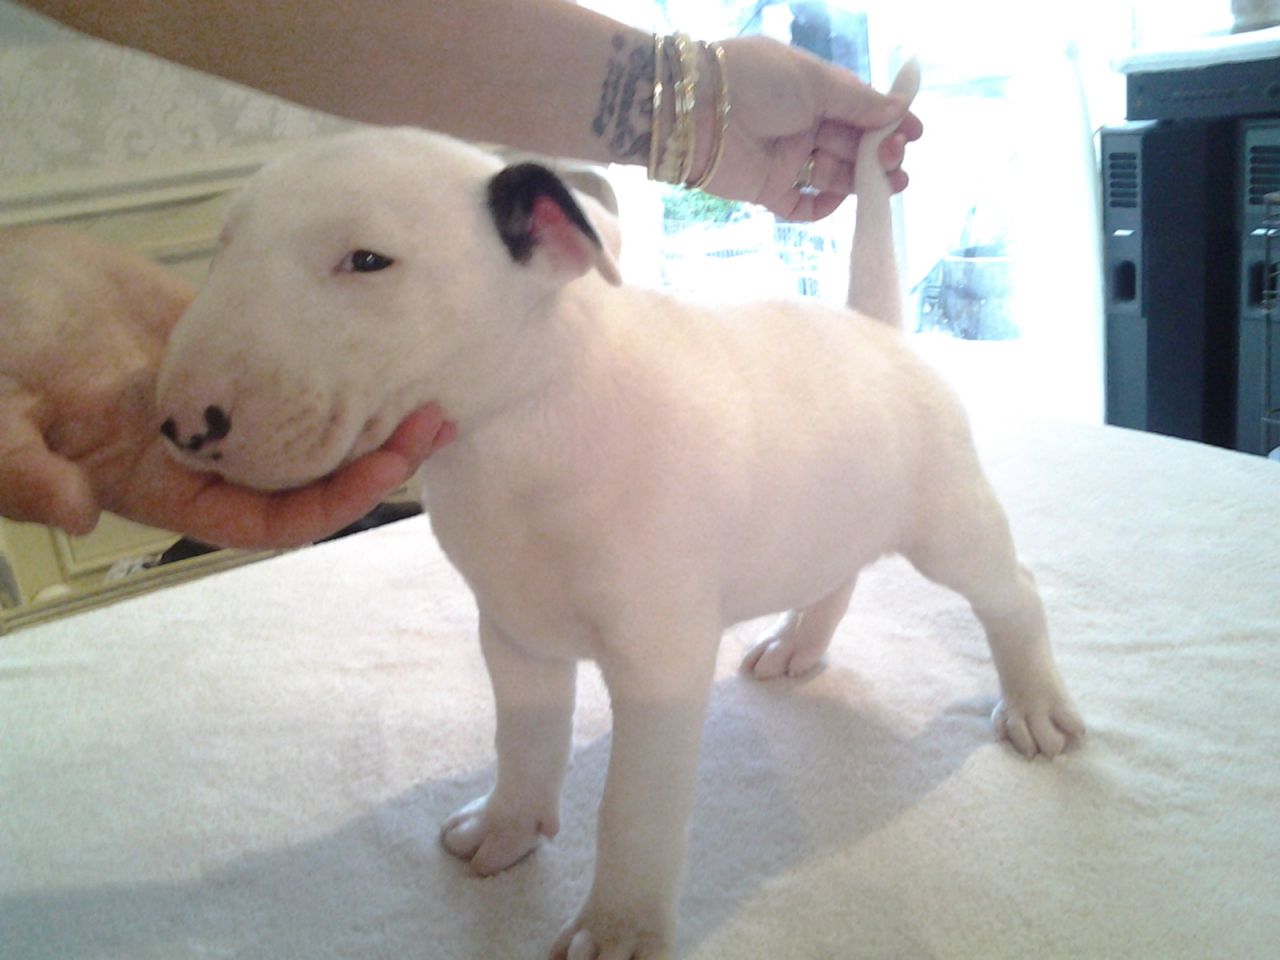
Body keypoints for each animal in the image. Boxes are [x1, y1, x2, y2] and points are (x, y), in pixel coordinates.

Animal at [157, 64, 1080, 960]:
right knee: (837, 571)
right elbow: (525, 739)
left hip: (947, 516)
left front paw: (620, 929)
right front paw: (506, 830)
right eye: (223, 245)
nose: (179, 426)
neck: (518, 431)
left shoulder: (660, 665)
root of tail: (877, 332)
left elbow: (634, 809)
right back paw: (797, 644)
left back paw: (1034, 704)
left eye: (368, 260)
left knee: (1014, 587)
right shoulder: (514, 633)